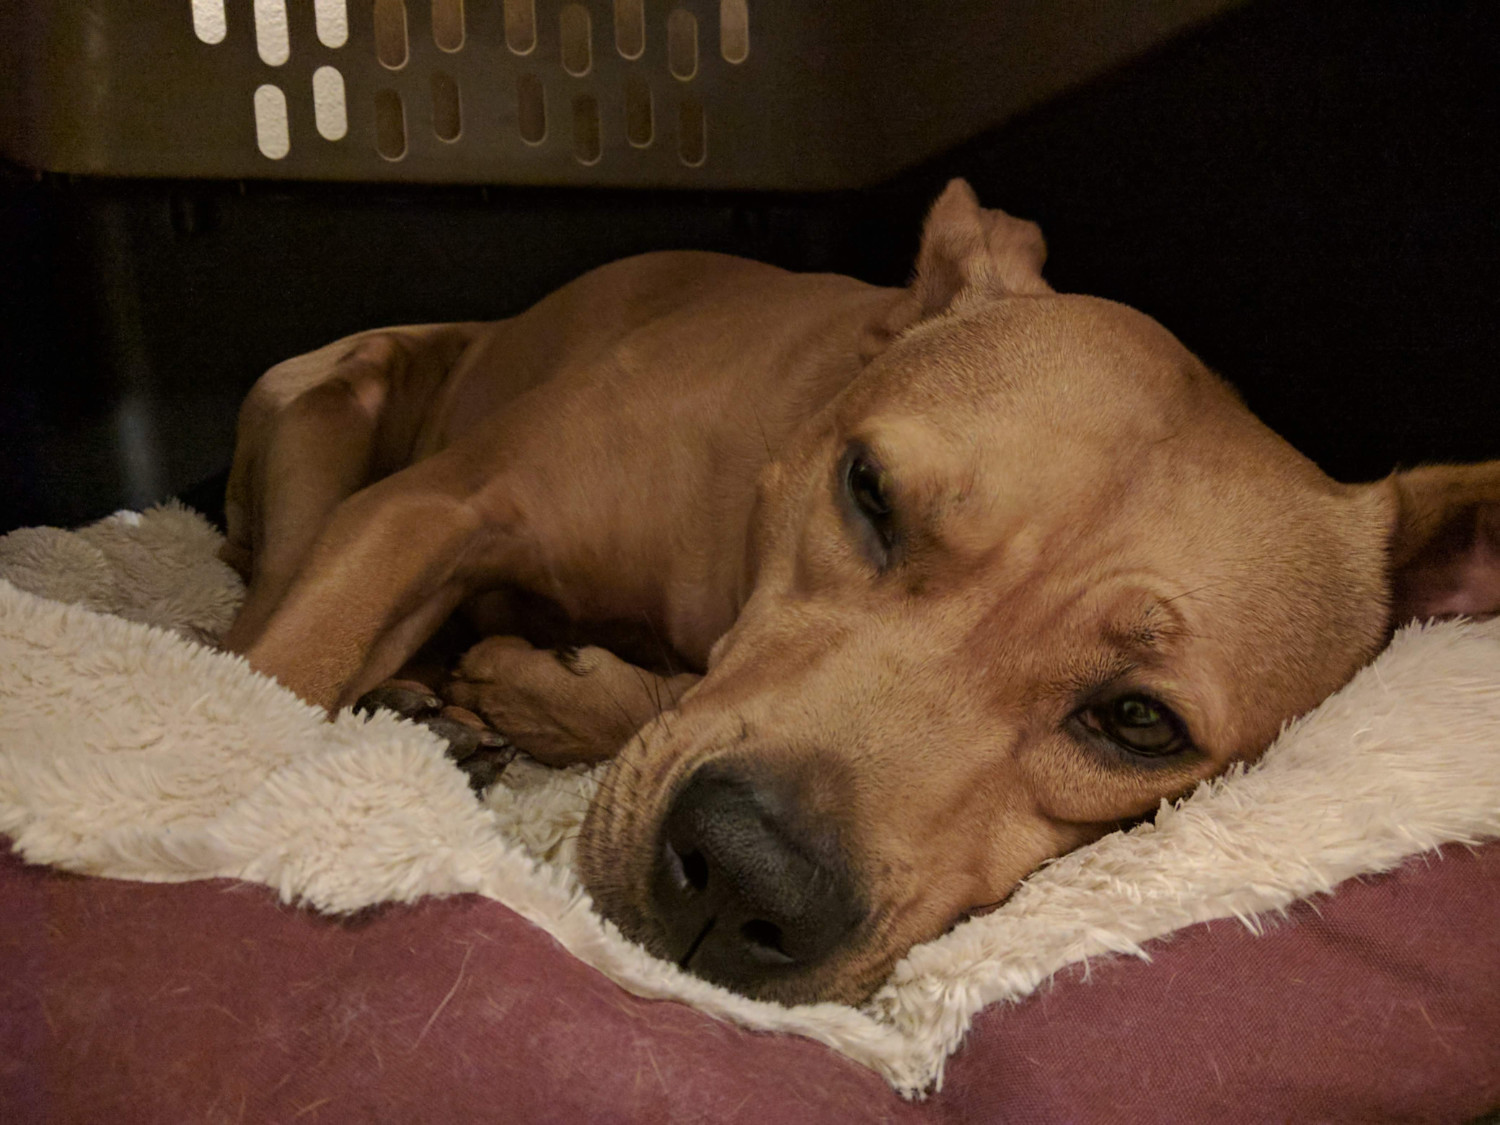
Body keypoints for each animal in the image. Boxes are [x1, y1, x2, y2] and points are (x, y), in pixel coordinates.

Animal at [222, 183, 1500, 1002]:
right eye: (871, 491)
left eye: (1140, 721)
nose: (744, 879)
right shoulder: (437, 507)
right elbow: (282, 675)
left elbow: (651, 696)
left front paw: (540, 691)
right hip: (326, 405)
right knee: (252, 615)